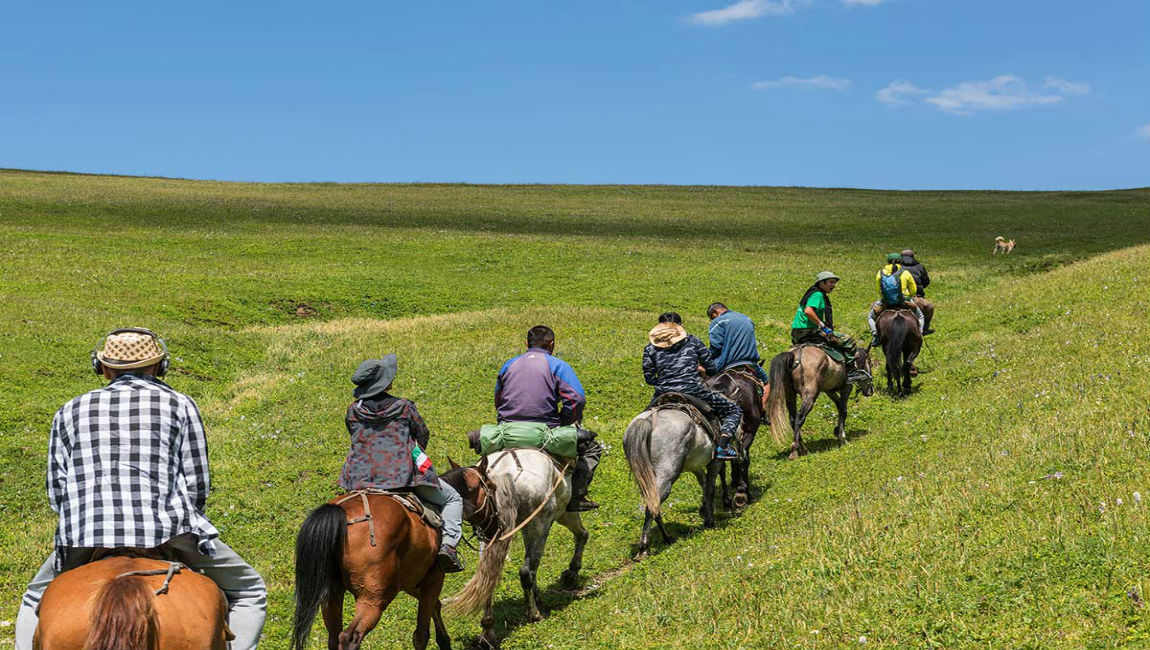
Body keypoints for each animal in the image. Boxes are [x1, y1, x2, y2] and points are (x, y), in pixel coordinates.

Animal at [289, 464, 492, 648]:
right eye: (490, 488)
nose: (491, 524)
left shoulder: (411, 582)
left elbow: (436, 606)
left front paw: (444, 641)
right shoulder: (433, 579)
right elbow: (422, 633)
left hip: (332, 596)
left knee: (333, 637)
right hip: (373, 599)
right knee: (349, 638)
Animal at [443, 448, 588, 644]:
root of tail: (503, 472)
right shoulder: (560, 514)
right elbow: (581, 535)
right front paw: (571, 573)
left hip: (490, 534)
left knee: (489, 576)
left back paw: (488, 632)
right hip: (540, 523)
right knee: (527, 570)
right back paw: (534, 614)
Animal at [625, 404, 713, 556]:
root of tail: (647, 420)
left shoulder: (697, 467)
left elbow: (705, 484)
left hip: (647, 480)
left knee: (654, 506)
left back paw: (666, 539)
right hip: (665, 477)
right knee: (652, 507)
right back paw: (644, 548)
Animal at [703, 365, 768, 506]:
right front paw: (740, 487)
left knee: (720, 464)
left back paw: (726, 499)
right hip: (748, 431)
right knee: (742, 459)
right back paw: (742, 493)